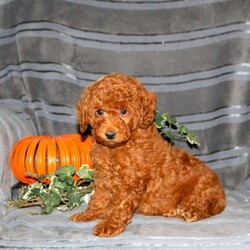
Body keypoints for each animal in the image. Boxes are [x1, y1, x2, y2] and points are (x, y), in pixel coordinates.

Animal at [69, 73, 226, 237]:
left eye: (123, 111)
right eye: (99, 112)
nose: (110, 134)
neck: (116, 148)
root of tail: (221, 193)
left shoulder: (131, 181)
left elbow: (119, 205)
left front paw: (109, 225)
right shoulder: (102, 176)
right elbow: (98, 198)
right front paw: (88, 214)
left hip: (200, 190)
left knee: (208, 206)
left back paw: (191, 211)